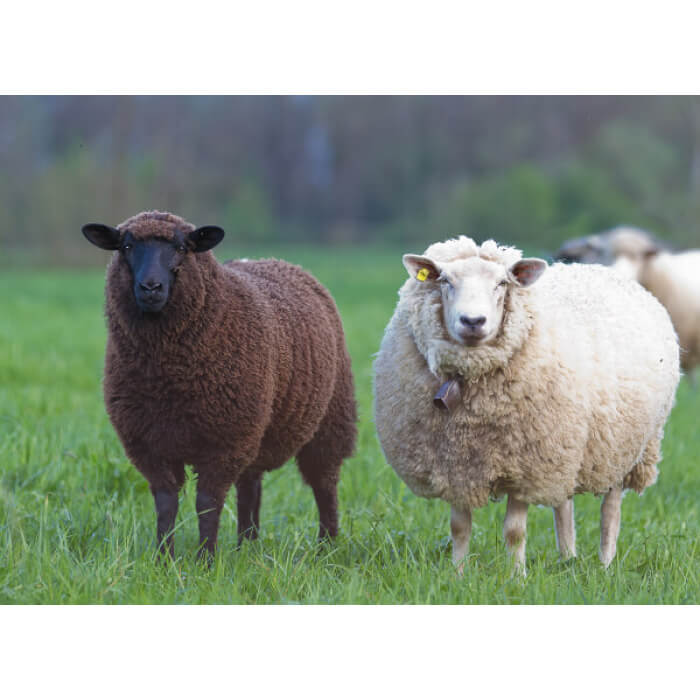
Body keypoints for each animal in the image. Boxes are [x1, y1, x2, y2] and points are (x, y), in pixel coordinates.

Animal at [82, 211, 356, 560]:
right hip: (256, 425)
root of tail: (276, 261)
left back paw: (327, 546)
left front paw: (205, 560)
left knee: (324, 483)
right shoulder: (148, 443)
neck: (166, 377)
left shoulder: (224, 442)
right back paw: (246, 547)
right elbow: (166, 503)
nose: (150, 287)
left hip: (328, 418)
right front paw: (164, 559)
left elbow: (207, 504)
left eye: (182, 247)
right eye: (126, 246)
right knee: (250, 486)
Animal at [374, 237, 680, 576]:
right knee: (563, 505)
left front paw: (515, 577)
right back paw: (567, 558)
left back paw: (605, 564)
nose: (472, 321)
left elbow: (514, 531)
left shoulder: (525, 465)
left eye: (501, 284)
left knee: (610, 511)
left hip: (623, 448)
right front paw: (458, 575)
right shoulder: (456, 463)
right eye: (445, 282)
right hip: (566, 447)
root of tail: (599, 269)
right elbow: (459, 527)